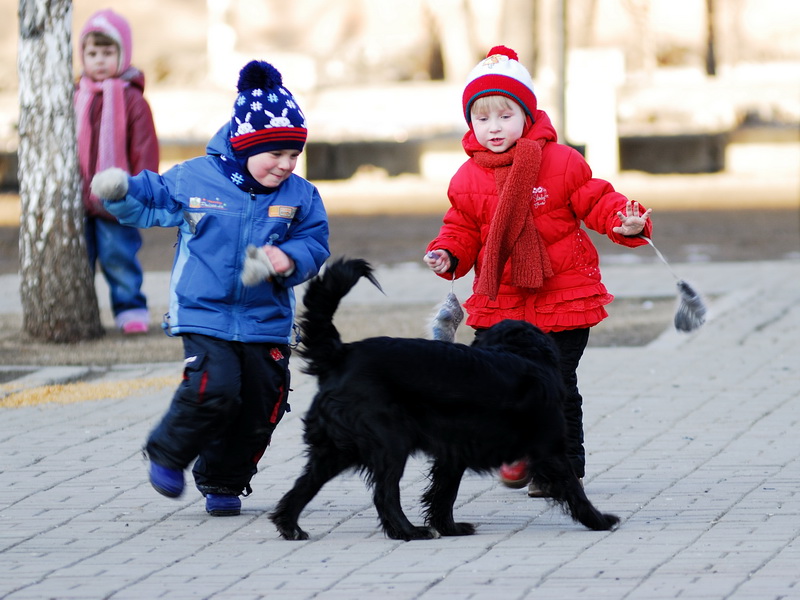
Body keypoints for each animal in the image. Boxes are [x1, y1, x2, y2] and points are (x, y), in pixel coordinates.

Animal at [270, 260, 620, 540]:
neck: (520, 354)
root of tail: (341, 354)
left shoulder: (453, 452)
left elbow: (443, 492)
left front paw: (449, 526)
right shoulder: (549, 446)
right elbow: (572, 487)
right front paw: (600, 520)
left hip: (333, 449)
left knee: (302, 487)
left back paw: (290, 526)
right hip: (390, 443)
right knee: (384, 494)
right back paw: (409, 531)